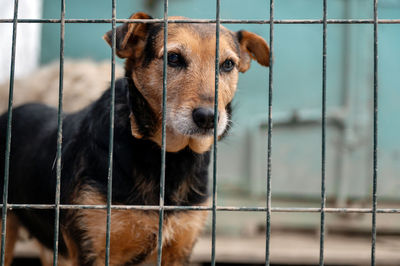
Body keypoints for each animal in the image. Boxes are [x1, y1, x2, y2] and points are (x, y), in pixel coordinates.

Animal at [0, 11, 270, 264]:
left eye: (227, 64)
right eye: (173, 58)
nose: (208, 117)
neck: (167, 158)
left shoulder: (179, 251)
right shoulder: (93, 250)